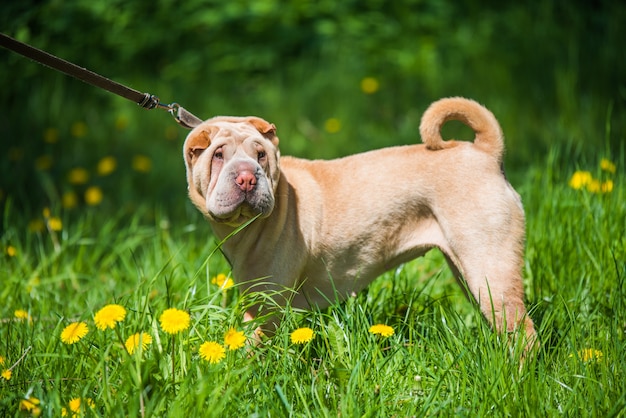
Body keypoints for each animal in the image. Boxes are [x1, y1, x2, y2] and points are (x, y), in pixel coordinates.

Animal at [183, 98, 532, 350]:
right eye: (218, 155)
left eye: (261, 155)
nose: (247, 177)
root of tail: (485, 152)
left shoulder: (268, 308)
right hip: (468, 272)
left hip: (489, 267)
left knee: (524, 332)